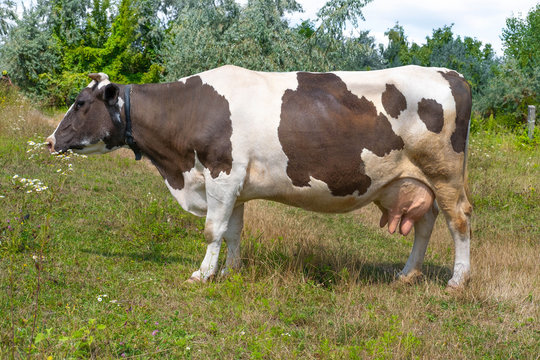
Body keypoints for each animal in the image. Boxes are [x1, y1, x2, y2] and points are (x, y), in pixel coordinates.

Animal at [48, 64, 474, 288]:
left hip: (445, 173)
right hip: (415, 180)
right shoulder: (234, 186)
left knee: (459, 220)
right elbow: (232, 231)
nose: (51, 140)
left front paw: (202, 274)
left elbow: (212, 230)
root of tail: (451, 73)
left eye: (80, 103)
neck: (177, 170)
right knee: (426, 223)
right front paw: (231, 270)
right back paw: (406, 274)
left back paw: (457, 281)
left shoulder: (221, 172)